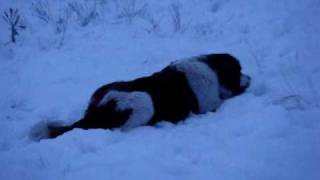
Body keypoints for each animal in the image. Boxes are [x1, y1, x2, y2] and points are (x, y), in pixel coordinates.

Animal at [38, 52, 250, 139]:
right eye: (239, 70)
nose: (251, 78)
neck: (213, 70)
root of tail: (93, 113)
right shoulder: (209, 105)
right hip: (144, 101)